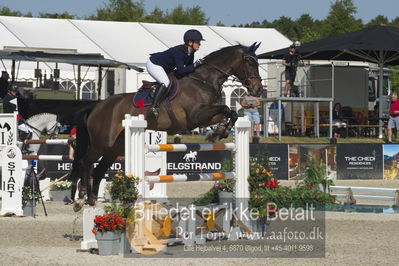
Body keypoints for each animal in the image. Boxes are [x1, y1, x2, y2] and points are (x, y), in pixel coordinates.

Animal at [71, 42, 266, 211]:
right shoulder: (196, 115)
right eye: (249, 61)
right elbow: (226, 108)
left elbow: (230, 113)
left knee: (99, 169)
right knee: (86, 162)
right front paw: (217, 133)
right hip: (101, 143)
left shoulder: (205, 118)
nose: (258, 90)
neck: (204, 81)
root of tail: (96, 107)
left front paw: (219, 133)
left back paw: (92, 201)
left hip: (114, 147)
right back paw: (80, 200)